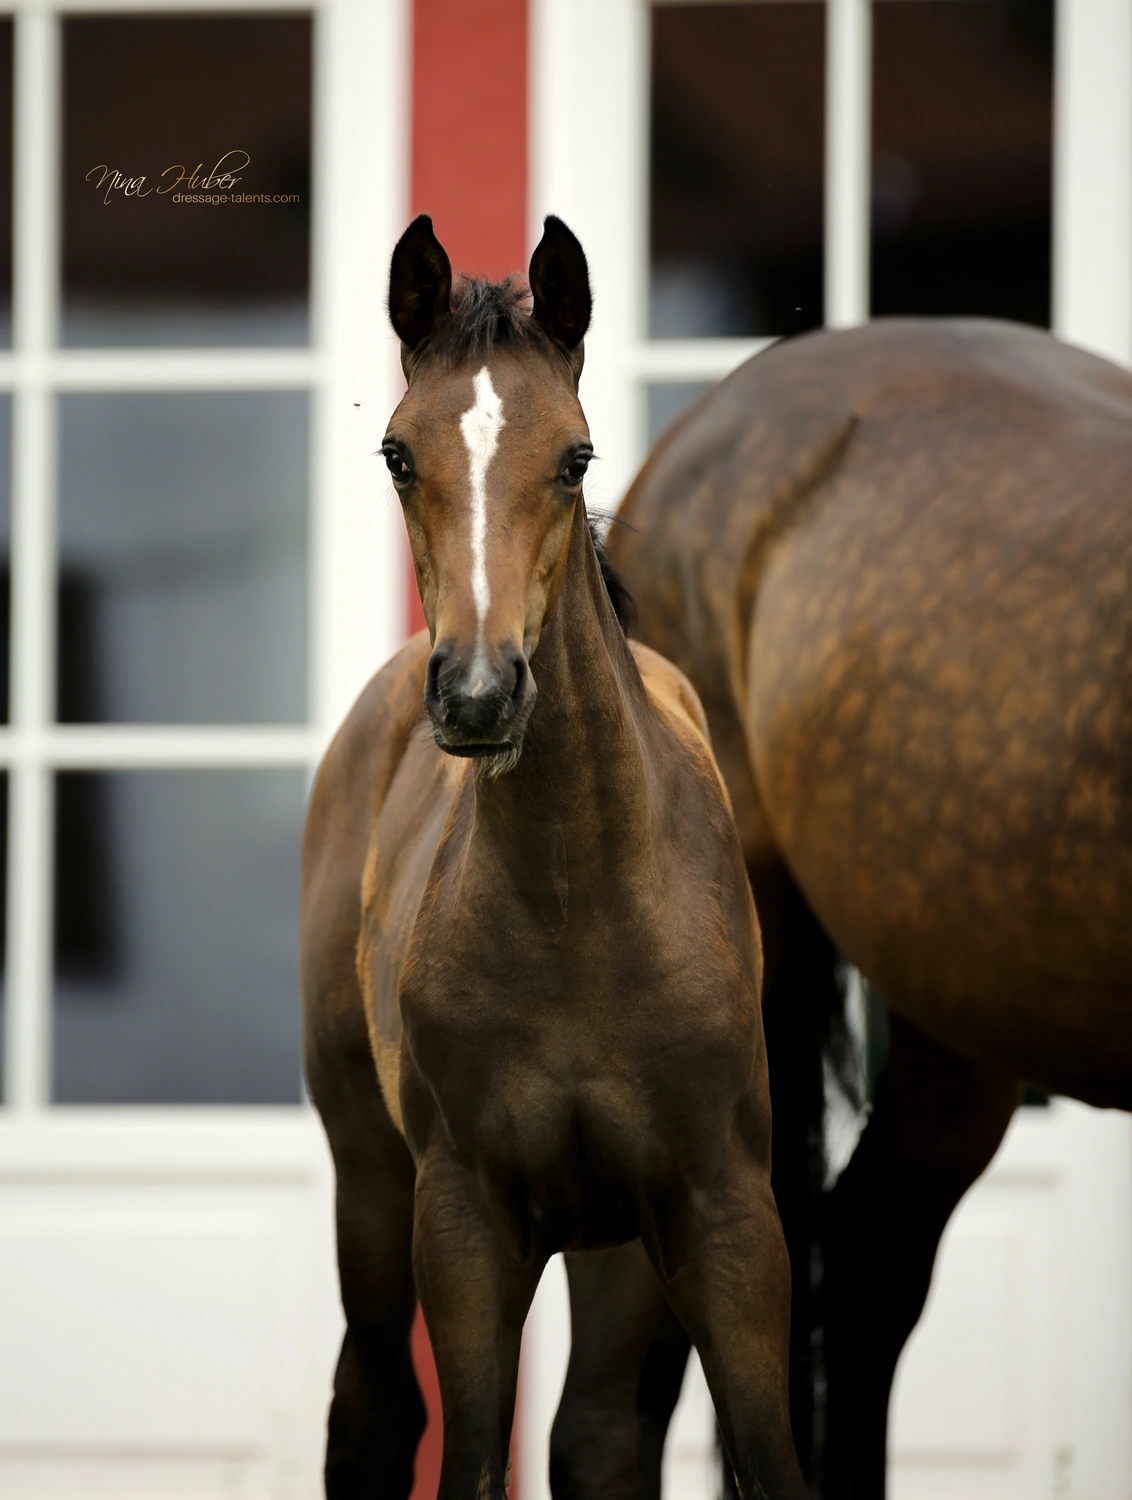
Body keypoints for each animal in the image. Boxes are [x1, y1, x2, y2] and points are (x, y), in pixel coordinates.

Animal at [299, 214, 807, 1500]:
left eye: (576, 458)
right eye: (397, 452)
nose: (480, 693)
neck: (580, 897)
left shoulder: (721, 1215)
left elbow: (759, 1455)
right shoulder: (465, 1222)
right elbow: (473, 1455)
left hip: (618, 1241)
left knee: (595, 1437)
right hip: (369, 1177)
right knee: (374, 1410)